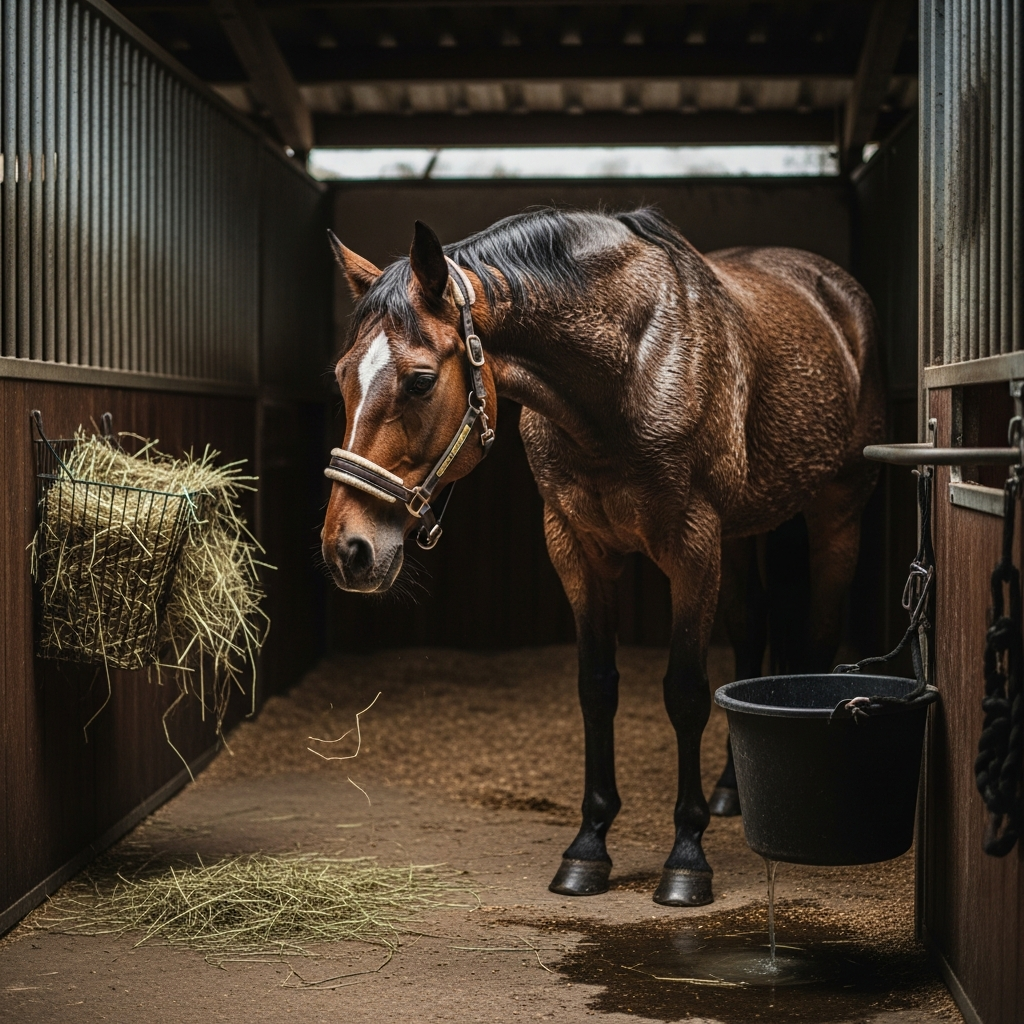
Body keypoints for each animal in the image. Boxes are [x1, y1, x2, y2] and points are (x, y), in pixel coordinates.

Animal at [320, 208, 885, 907]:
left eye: (421, 381)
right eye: (341, 376)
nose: (348, 550)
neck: (626, 370)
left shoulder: (691, 547)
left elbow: (686, 692)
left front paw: (686, 857)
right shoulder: (577, 548)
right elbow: (596, 687)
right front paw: (588, 846)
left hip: (836, 516)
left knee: (816, 637)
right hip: (739, 536)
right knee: (752, 634)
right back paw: (731, 789)